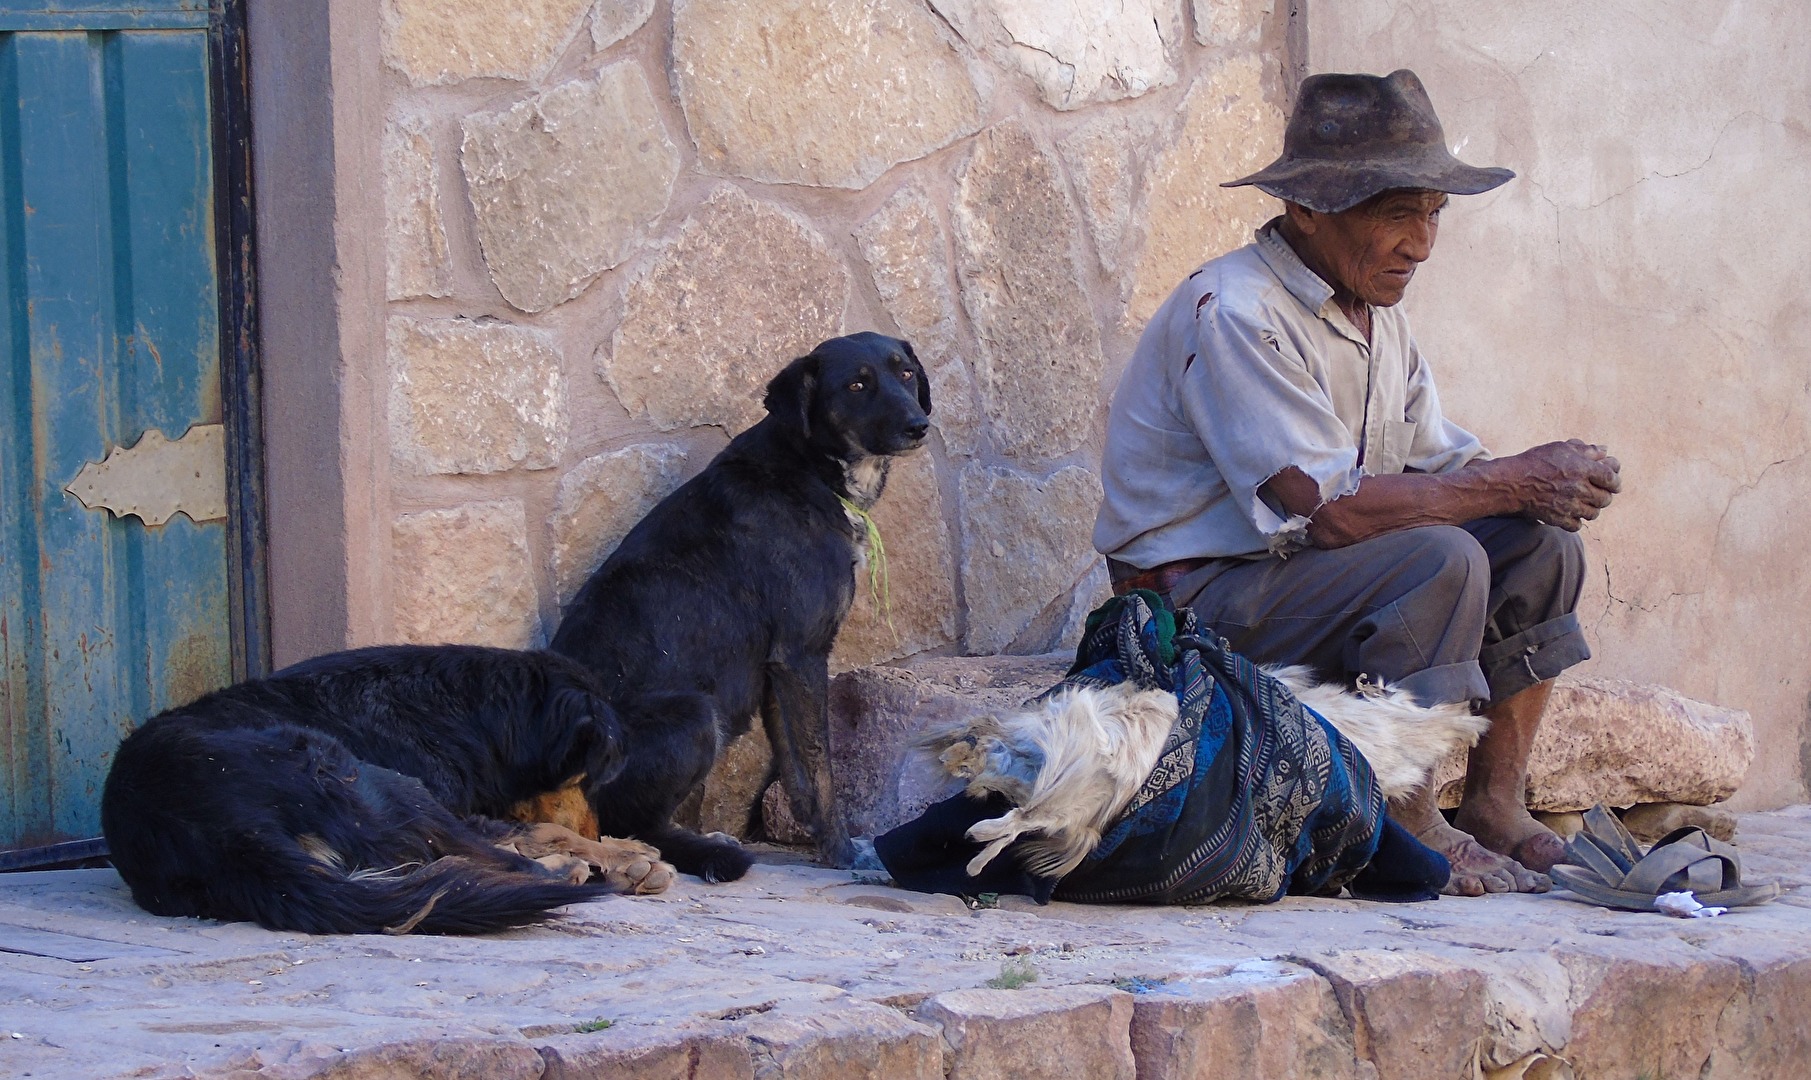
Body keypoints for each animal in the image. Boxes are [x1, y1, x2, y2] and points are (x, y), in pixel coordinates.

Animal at [102, 645, 677, 935]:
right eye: (591, 781)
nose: (599, 830)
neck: (469, 709)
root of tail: (229, 834)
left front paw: (622, 848)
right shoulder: (449, 799)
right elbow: (540, 831)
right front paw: (624, 855)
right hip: (375, 780)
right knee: (496, 866)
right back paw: (575, 871)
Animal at [550, 333, 934, 880]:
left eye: (905, 373)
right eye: (857, 385)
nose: (919, 425)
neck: (808, 469)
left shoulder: (776, 669)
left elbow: (797, 771)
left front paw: (819, 842)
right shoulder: (802, 655)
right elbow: (820, 769)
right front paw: (842, 853)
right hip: (694, 713)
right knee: (627, 826)